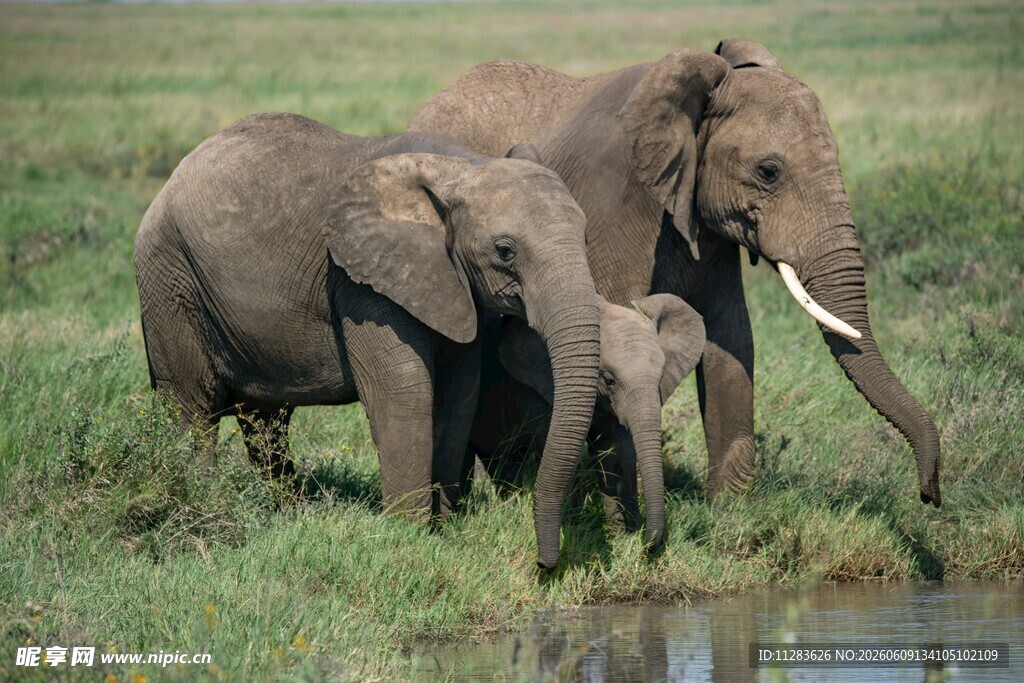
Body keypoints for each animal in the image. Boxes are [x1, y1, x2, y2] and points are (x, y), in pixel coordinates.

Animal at [134, 112, 601, 569]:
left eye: (585, 236)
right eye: (505, 251)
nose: (545, 566)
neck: (461, 166)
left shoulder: (453, 282)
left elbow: (459, 392)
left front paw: (446, 526)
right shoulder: (361, 280)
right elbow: (404, 391)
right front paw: (412, 538)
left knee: (264, 420)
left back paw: (288, 514)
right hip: (171, 280)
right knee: (193, 408)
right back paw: (207, 507)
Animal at [408, 39, 941, 506]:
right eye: (768, 172)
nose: (929, 494)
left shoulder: (705, 221)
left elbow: (731, 336)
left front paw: (729, 514)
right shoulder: (612, 200)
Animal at [471, 293, 705, 548]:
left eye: (661, 377)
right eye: (609, 380)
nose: (647, 542)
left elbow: (616, 454)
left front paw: (623, 537)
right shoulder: (537, 389)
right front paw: (576, 530)